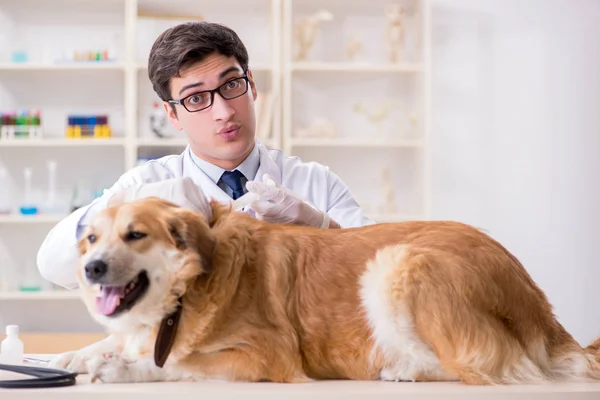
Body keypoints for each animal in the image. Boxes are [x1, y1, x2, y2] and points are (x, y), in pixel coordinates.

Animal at [49, 196, 600, 384]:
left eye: (135, 235)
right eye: (91, 238)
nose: (93, 268)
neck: (189, 291)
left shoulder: (267, 354)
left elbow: (180, 363)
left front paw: (126, 367)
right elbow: (110, 340)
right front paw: (69, 357)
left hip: (397, 262)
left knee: (476, 368)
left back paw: (400, 369)